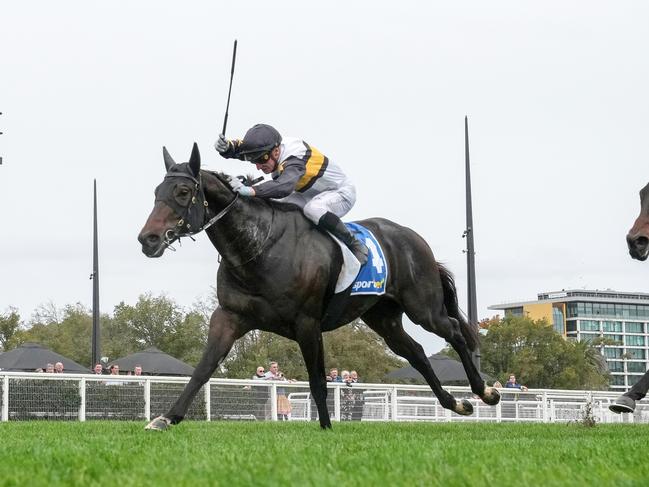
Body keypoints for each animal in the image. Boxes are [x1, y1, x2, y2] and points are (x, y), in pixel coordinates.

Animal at [139, 143, 498, 428]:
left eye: (183, 192)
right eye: (156, 192)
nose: (148, 239)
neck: (260, 247)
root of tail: (412, 237)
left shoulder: (307, 323)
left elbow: (318, 381)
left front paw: (326, 429)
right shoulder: (229, 316)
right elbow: (203, 369)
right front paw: (166, 418)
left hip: (423, 307)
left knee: (454, 331)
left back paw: (485, 391)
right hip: (384, 318)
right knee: (417, 354)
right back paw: (457, 403)